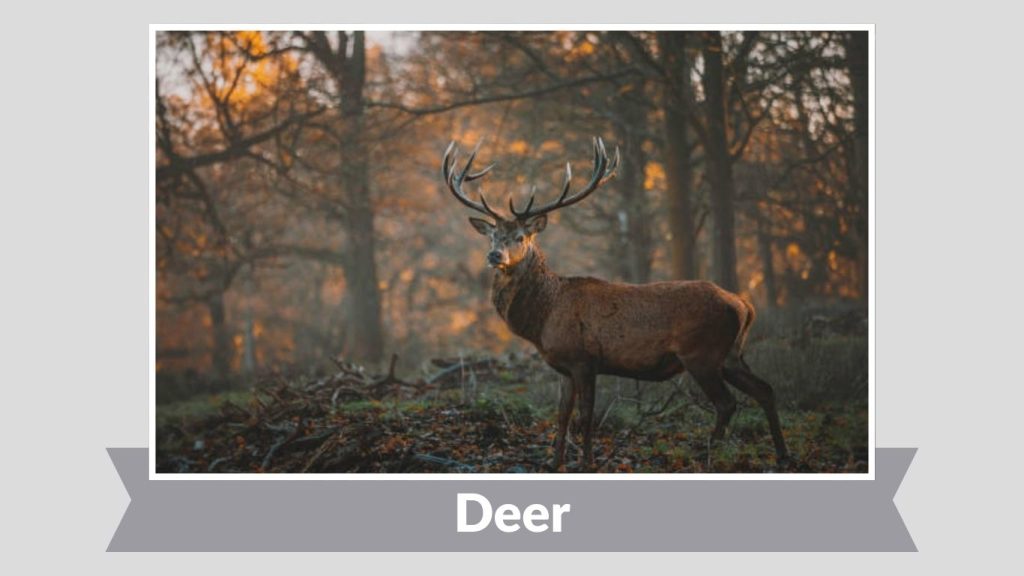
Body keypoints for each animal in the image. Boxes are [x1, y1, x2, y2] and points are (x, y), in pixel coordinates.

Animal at [441, 137, 789, 471]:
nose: (494, 255)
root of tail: (743, 304)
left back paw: (709, 455)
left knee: (727, 403)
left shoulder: (584, 359)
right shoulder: (564, 366)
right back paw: (782, 456)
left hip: (701, 352)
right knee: (765, 389)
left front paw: (587, 463)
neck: (544, 317)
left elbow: (586, 416)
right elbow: (562, 415)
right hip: (730, 354)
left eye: (520, 237)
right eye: (492, 236)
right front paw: (554, 463)